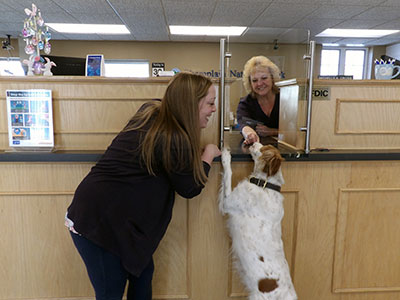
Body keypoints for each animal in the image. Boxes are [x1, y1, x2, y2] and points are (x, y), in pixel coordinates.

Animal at [219, 142, 296, 300]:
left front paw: (226, 156)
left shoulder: (228, 203)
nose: (253, 142)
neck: (266, 185)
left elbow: (228, 174)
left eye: (264, 148)